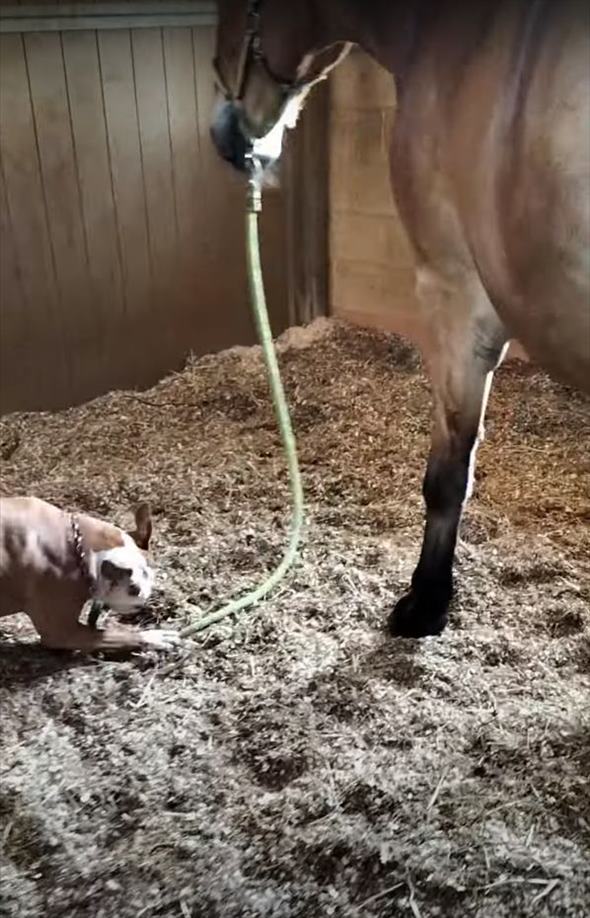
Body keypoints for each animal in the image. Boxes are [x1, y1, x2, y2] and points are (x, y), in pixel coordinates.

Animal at [0, 496, 180, 656]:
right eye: (133, 590)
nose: (142, 603)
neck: (78, 547)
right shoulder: (62, 632)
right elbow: (111, 634)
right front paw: (152, 637)